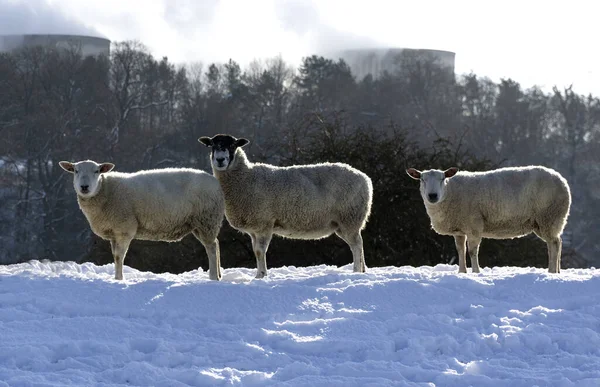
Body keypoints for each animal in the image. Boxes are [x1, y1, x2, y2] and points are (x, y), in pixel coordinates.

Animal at [59, 161, 225, 282]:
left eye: (97, 171)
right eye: (75, 171)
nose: (84, 187)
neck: (105, 190)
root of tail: (216, 182)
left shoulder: (125, 229)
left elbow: (119, 256)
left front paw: (119, 279)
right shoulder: (114, 232)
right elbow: (114, 256)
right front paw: (116, 277)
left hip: (207, 219)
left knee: (211, 248)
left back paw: (213, 277)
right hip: (201, 223)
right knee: (216, 243)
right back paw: (218, 275)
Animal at [199, 133, 372, 278]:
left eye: (233, 145)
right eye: (212, 145)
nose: (220, 160)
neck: (245, 178)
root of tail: (365, 179)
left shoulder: (264, 224)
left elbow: (259, 252)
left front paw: (261, 276)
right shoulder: (254, 228)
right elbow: (256, 251)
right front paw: (260, 274)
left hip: (350, 218)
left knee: (357, 245)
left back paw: (356, 271)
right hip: (342, 223)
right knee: (359, 243)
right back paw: (362, 270)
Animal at [406, 165, 568, 274]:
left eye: (442, 178)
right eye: (422, 179)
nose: (432, 196)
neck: (450, 192)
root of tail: (562, 181)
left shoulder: (474, 225)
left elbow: (472, 251)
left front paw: (476, 272)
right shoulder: (459, 229)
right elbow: (460, 250)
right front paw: (462, 272)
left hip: (549, 216)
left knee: (554, 244)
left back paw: (551, 271)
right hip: (545, 221)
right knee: (557, 243)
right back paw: (557, 271)